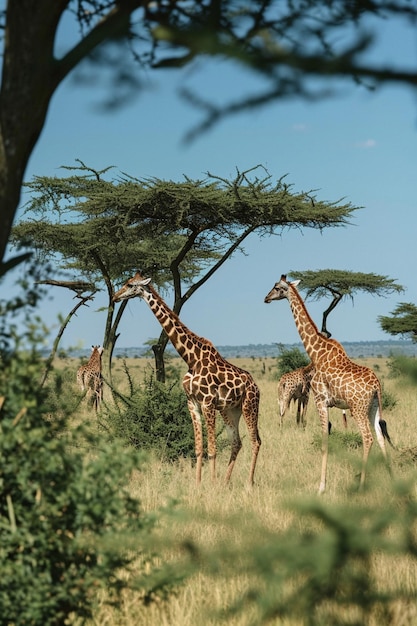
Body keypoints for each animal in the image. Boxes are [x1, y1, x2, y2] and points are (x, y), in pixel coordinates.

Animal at [110, 270, 260, 486]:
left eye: (130, 285)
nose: (115, 297)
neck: (191, 358)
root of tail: (256, 386)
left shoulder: (207, 403)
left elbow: (212, 449)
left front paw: (211, 485)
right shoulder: (192, 403)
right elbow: (198, 448)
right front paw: (198, 484)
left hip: (250, 405)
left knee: (256, 441)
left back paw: (248, 484)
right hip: (230, 410)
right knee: (237, 442)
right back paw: (225, 482)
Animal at [264, 272, 394, 492]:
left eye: (277, 287)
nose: (266, 298)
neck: (316, 353)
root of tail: (377, 385)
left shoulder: (320, 401)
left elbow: (325, 440)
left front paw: (321, 487)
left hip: (358, 408)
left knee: (367, 438)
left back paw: (361, 485)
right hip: (373, 407)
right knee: (379, 436)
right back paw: (392, 479)